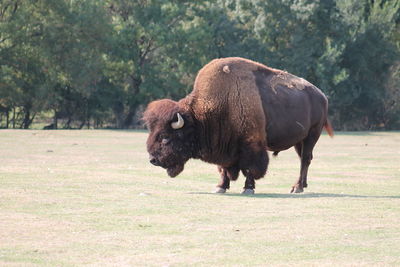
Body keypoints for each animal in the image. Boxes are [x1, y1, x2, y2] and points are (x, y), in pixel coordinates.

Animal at [142, 57, 332, 195]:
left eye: (165, 137)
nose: (153, 160)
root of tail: (321, 95)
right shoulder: (224, 147)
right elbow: (223, 169)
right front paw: (220, 187)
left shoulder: (251, 145)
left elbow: (250, 168)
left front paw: (248, 188)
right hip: (299, 141)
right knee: (304, 159)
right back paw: (302, 185)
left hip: (312, 135)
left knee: (305, 159)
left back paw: (297, 187)